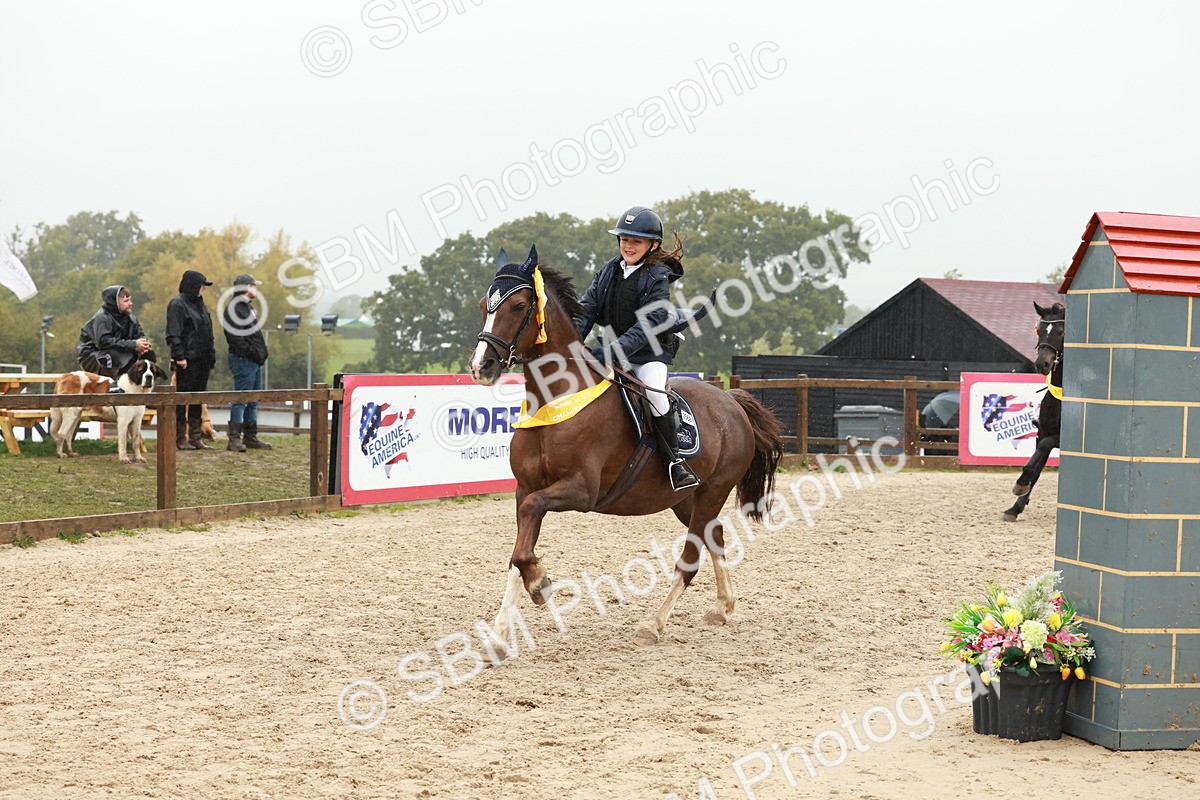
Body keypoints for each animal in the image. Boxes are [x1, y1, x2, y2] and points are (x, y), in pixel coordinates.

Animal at [469, 246, 785, 645]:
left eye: (519, 305)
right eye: (485, 305)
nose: (481, 366)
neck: (555, 399)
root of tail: (731, 400)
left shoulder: (580, 490)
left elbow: (530, 521)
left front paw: (539, 584)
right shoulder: (525, 488)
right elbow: (518, 549)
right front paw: (501, 629)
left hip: (713, 490)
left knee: (691, 558)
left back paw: (653, 624)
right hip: (687, 500)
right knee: (715, 538)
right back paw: (722, 607)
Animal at [1003, 301, 1064, 522]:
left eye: (1061, 331)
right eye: (1039, 331)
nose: (1042, 364)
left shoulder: (1058, 437)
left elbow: (1042, 450)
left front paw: (1021, 483)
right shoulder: (1043, 432)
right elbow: (1036, 467)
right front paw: (1015, 507)